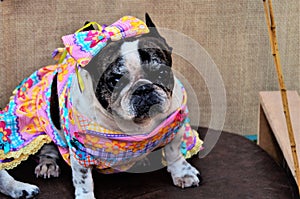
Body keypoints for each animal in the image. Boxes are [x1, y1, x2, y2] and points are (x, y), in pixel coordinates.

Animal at [0, 13, 202, 198]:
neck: (137, 125)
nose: (143, 89)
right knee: (48, 148)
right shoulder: (81, 151)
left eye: (161, 72)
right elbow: (83, 179)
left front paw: (182, 173)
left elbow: (174, 153)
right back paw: (47, 165)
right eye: (115, 80)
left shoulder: (174, 126)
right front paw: (85, 196)